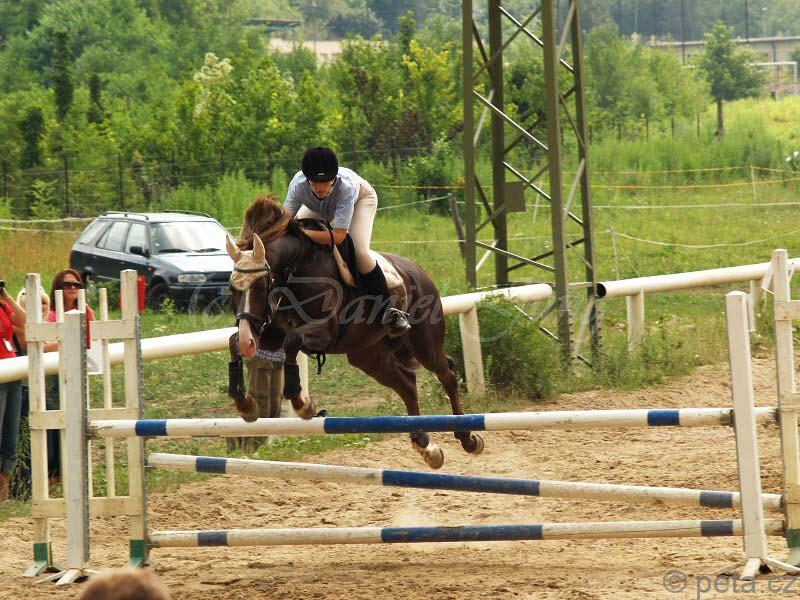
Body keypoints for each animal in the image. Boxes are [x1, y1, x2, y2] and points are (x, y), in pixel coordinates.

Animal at [225, 197, 484, 469]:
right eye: (232, 288)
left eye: (260, 286)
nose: (249, 342)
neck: (297, 267)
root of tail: (418, 270)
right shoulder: (269, 333)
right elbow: (234, 342)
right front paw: (246, 405)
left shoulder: (324, 333)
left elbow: (292, 341)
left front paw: (304, 405)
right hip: (369, 356)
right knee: (407, 385)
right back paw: (426, 446)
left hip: (424, 344)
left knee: (447, 373)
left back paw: (467, 438)